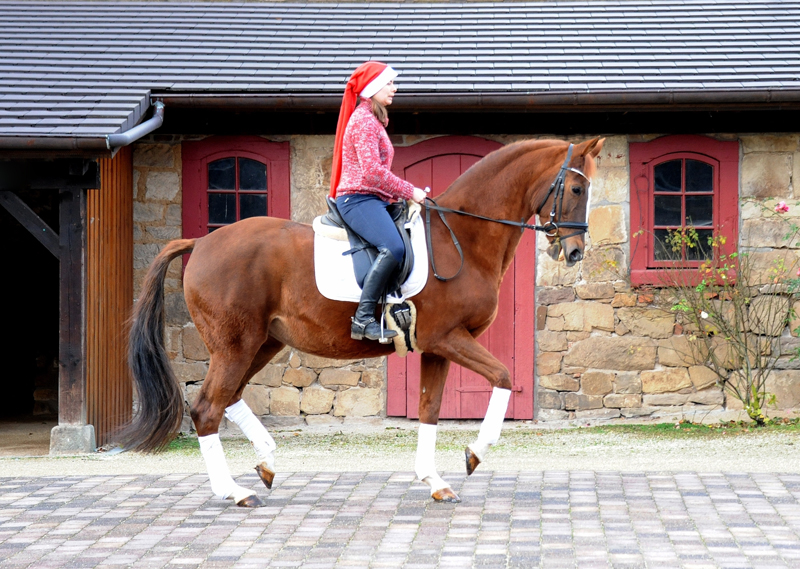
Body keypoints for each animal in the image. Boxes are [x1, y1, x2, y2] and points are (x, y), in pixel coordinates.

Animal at [122, 136, 604, 506]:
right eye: (576, 189)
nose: (575, 251)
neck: (462, 238)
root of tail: (200, 242)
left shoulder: (436, 347)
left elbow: (429, 410)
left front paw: (435, 482)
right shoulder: (449, 337)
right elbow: (504, 377)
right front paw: (474, 453)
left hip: (262, 343)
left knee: (228, 398)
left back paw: (265, 462)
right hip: (235, 345)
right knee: (207, 408)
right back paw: (235, 491)